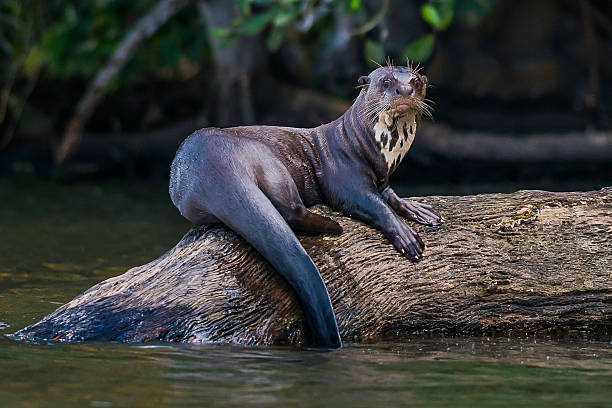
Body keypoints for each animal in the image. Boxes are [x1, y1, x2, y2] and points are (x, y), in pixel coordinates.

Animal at [170, 63, 442, 348]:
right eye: (386, 82)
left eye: (415, 81)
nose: (405, 90)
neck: (368, 147)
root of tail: (213, 164)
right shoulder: (345, 178)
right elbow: (373, 204)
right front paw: (406, 236)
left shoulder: (382, 178)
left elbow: (390, 195)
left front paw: (419, 210)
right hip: (268, 161)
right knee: (291, 210)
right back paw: (333, 226)